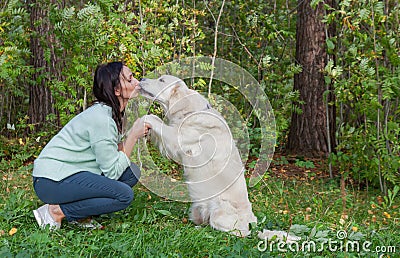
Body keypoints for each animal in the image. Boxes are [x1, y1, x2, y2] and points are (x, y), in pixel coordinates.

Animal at [141, 75, 300, 241]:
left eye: (161, 80)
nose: (143, 78)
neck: (190, 111)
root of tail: (254, 226)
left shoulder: (178, 138)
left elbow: (154, 119)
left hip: (220, 212)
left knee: (236, 233)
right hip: (197, 210)